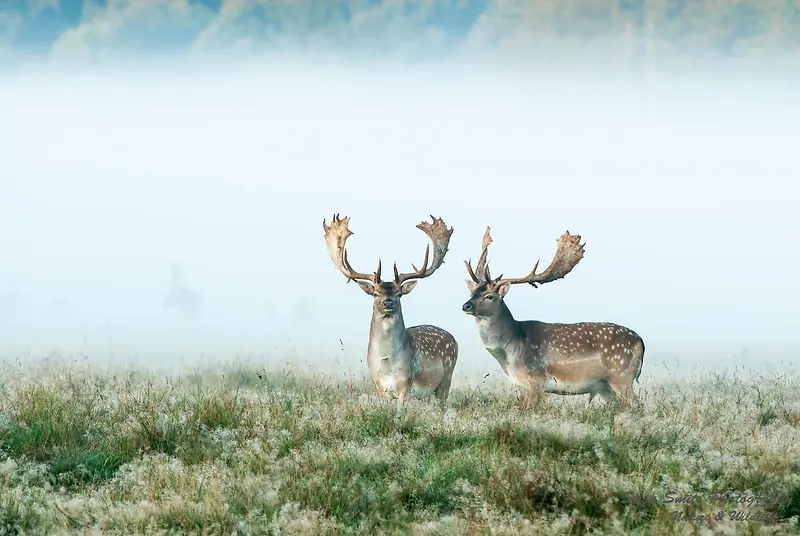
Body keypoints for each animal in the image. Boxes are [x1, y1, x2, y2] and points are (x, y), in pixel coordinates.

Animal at [322, 214, 460, 406]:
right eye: (375, 293)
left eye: (399, 293)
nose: (388, 303)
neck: (388, 366)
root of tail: (454, 339)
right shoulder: (378, 385)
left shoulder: (406, 383)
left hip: (446, 378)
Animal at [462, 227, 644, 406]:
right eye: (472, 292)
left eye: (489, 296)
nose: (466, 306)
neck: (510, 353)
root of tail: (640, 342)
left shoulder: (536, 380)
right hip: (605, 386)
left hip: (622, 375)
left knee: (637, 405)